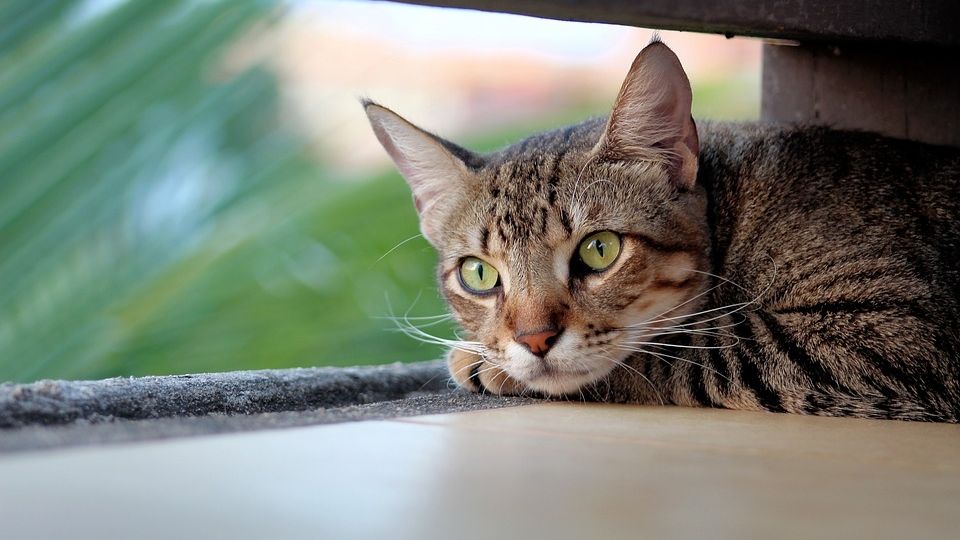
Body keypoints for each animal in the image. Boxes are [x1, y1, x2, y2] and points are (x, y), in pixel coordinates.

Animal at [362, 38, 960, 422]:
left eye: (599, 250)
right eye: (479, 275)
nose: (533, 340)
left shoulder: (892, 326)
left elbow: (688, 351)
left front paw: (481, 362)